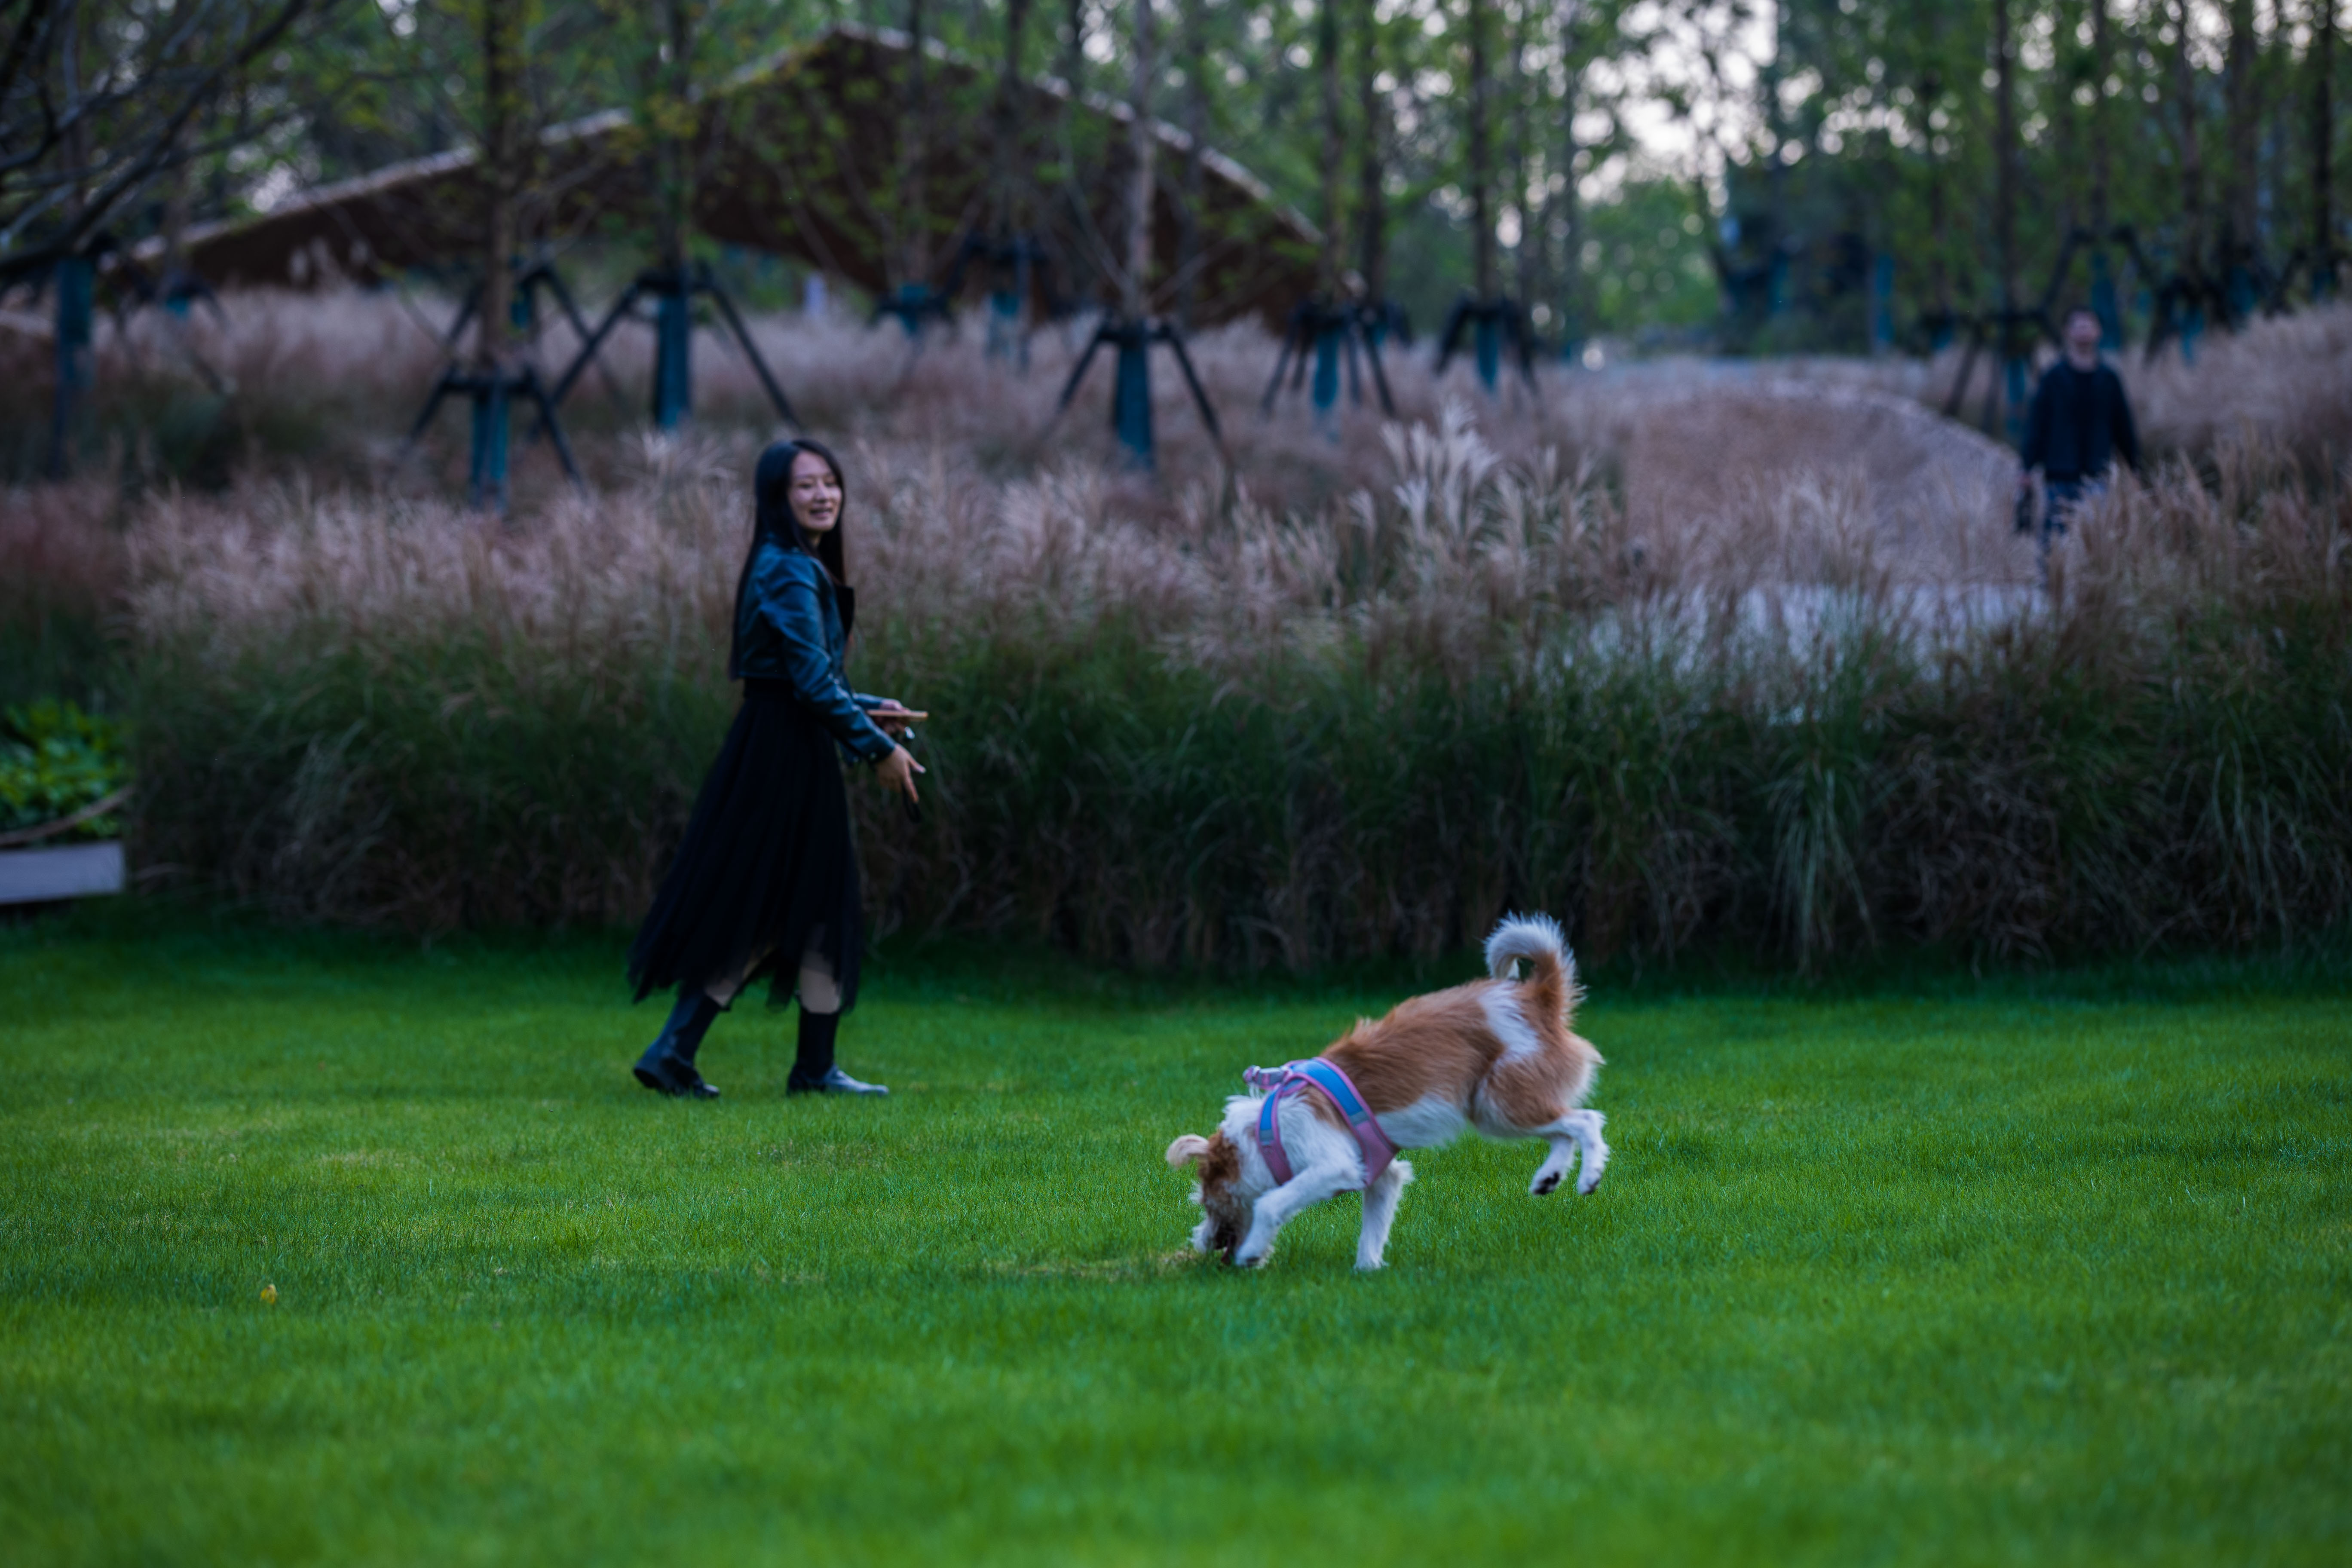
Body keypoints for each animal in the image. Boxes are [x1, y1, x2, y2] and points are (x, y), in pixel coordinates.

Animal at [1162, 912, 1608, 1269]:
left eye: (1208, 1201)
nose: (1201, 1242)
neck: (1269, 1133)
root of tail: (1538, 998)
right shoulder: (1380, 1175)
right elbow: (1374, 1226)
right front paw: (1368, 1272)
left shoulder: (1333, 1164)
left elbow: (1271, 1202)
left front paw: (1252, 1251)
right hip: (1500, 1108)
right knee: (1562, 1128)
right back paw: (1550, 1177)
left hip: (1499, 1102)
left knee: (1586, 1120)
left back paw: (1590, 1176)